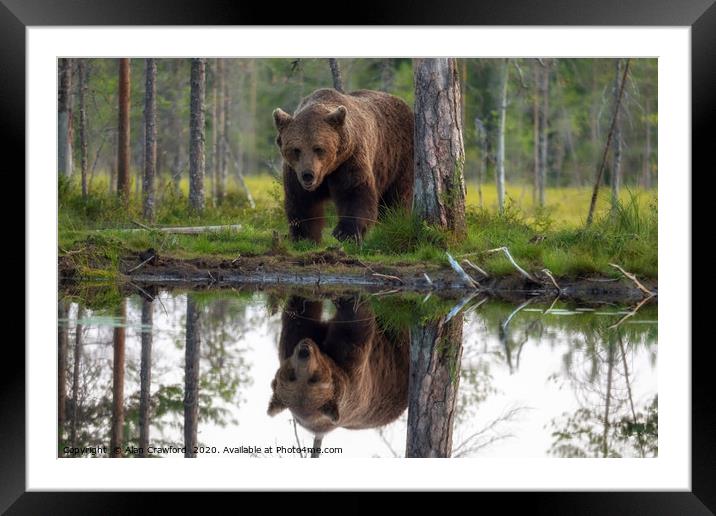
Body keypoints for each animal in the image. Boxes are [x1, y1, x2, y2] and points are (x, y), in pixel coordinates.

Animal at [268, 296, 412, 438]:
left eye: (313, 378)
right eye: (295, 376)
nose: (304, 352)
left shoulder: (292, 344)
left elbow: (300, 318)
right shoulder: (354, 375)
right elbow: (354, 324)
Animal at [272, 87, 414, 243]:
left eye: (318, 148)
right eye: (296, 149)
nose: (308, 175)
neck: (327, 171)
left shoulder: (349, 159)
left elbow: (353, 192)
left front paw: (345, 233)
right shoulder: (294, 171)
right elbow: (301, 200)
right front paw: (305, 236)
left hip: (398, 157)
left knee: (397, 196)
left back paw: (395, 220)